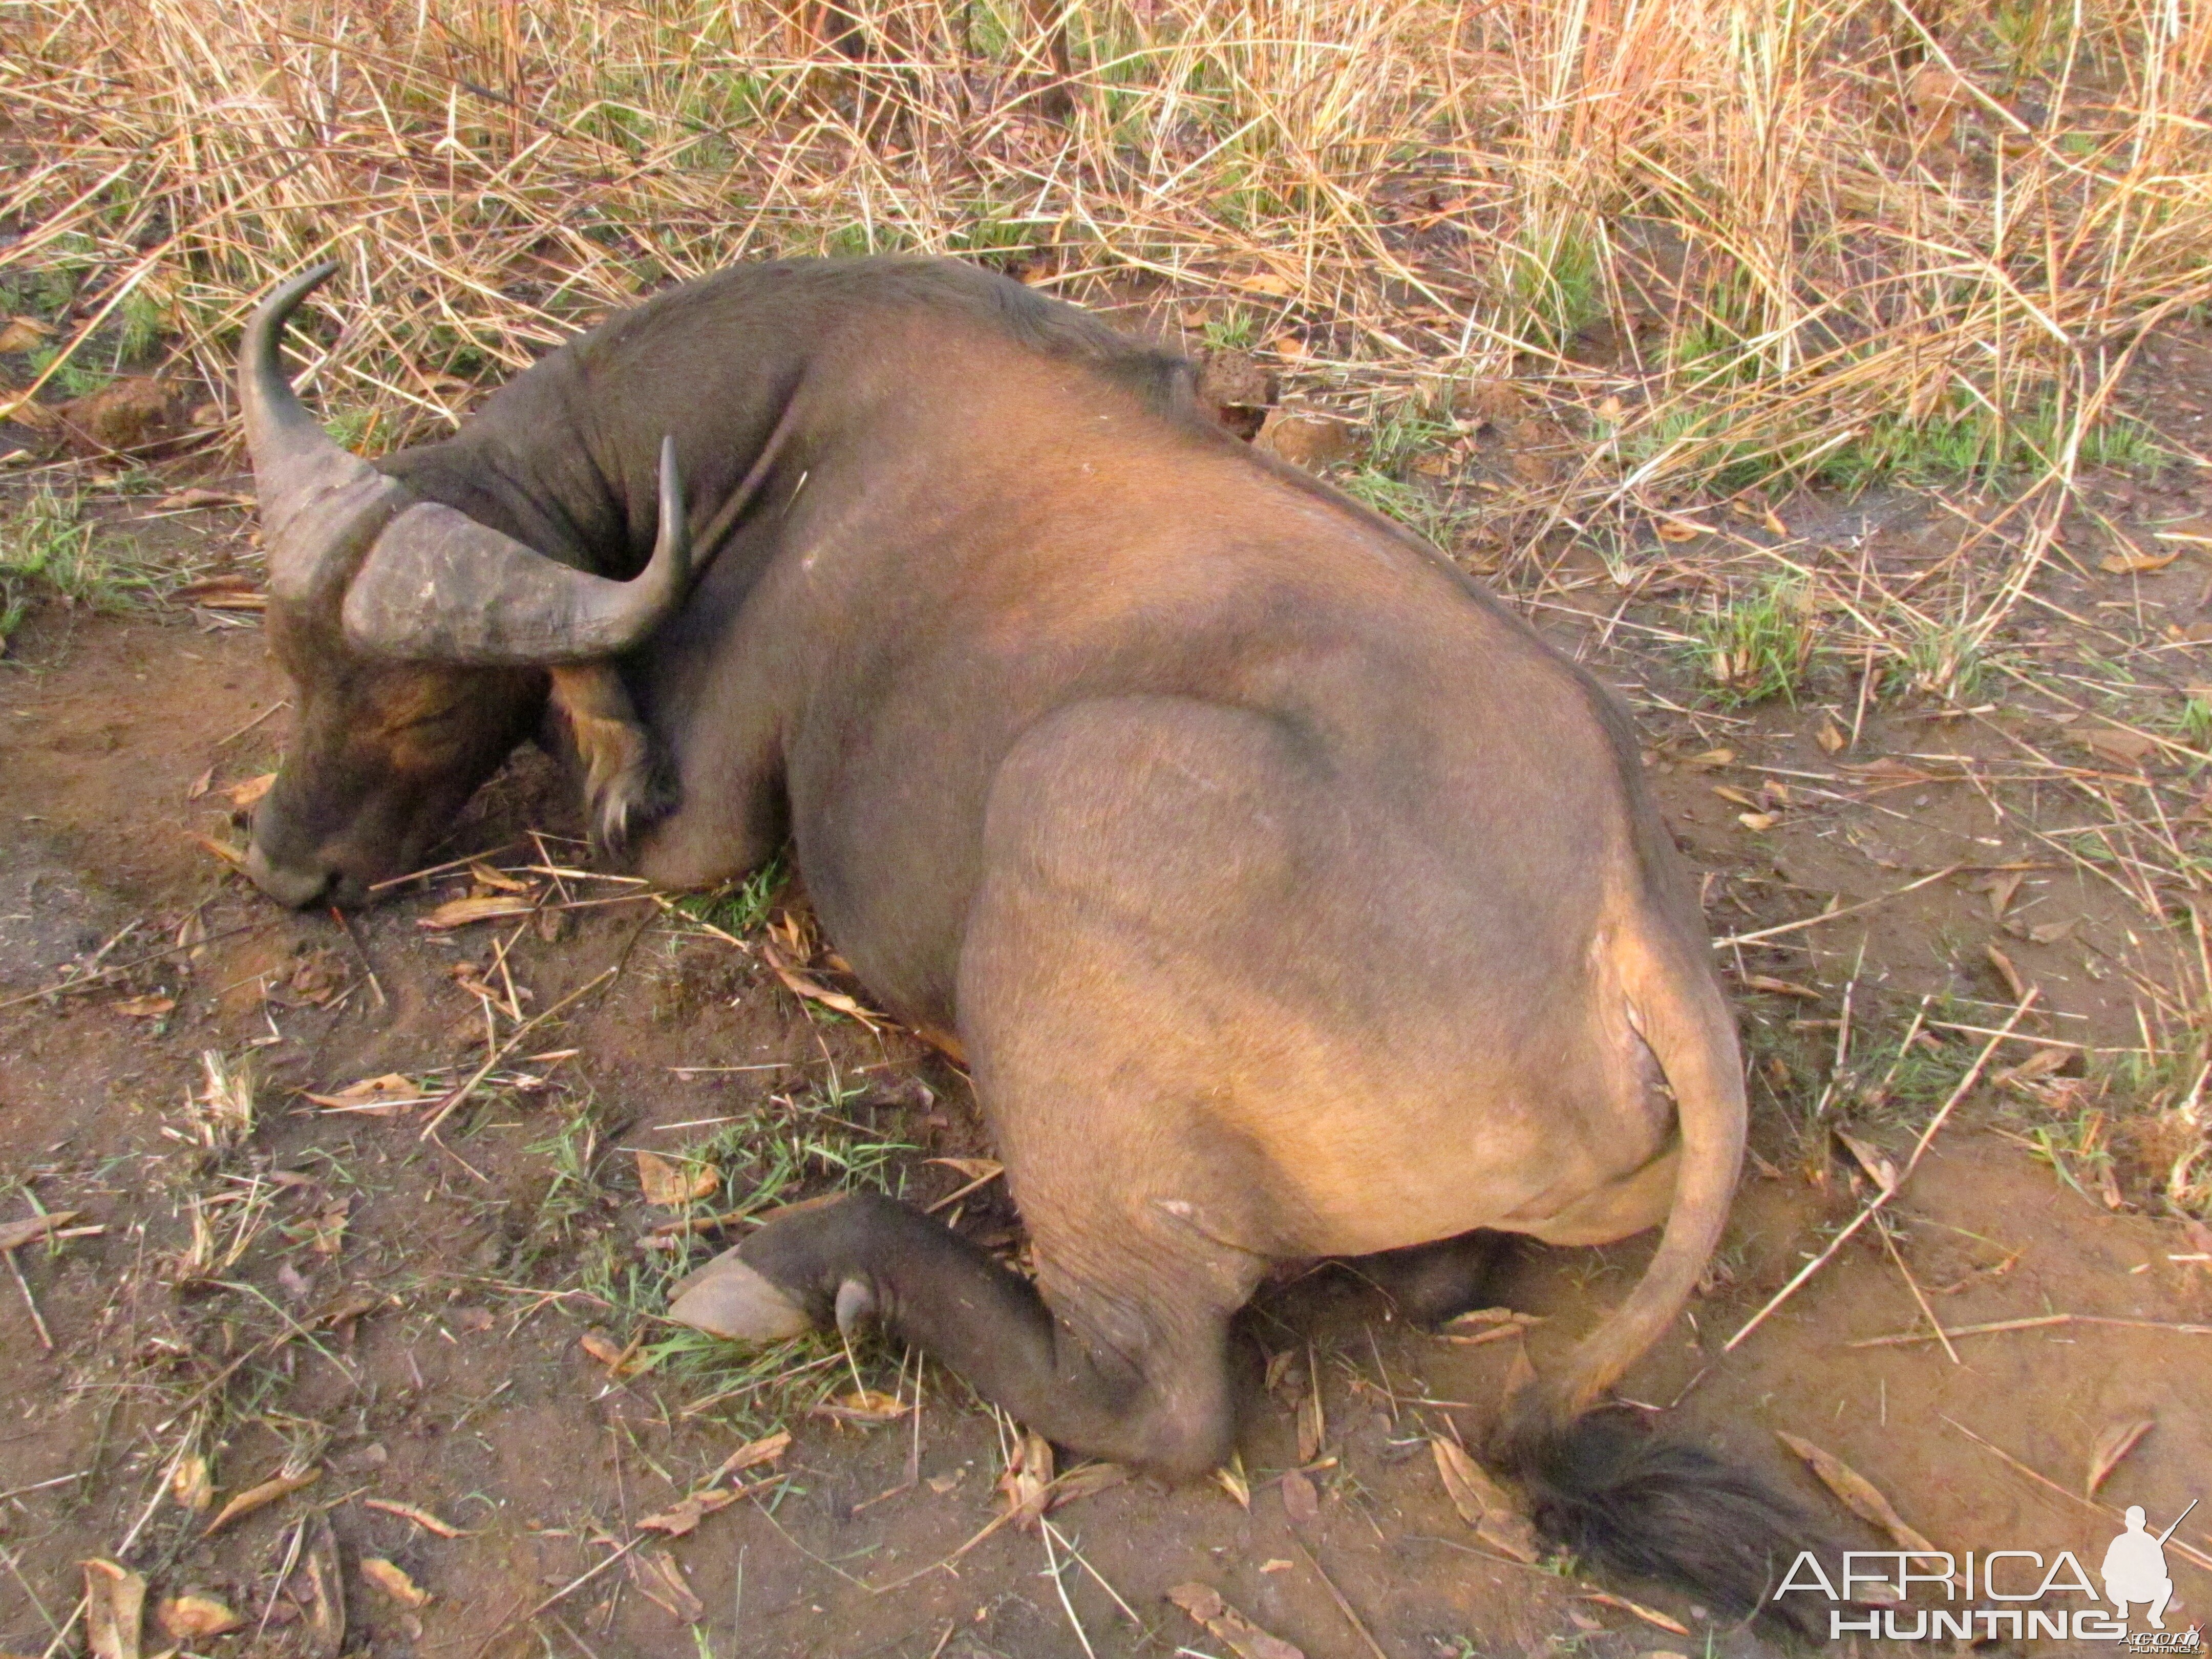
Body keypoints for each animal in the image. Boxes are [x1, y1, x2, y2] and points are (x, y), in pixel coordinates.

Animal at [238, 260, 1796, 1628]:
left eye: (421, 705)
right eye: (289, 659)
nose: (286, 862)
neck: (789, 426)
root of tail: (1630, 926)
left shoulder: (704, 824)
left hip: (1063, 812)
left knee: (1156, 1397)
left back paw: (799, 1269)